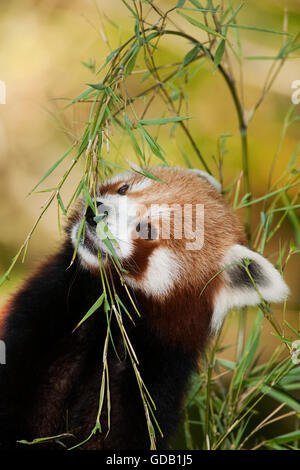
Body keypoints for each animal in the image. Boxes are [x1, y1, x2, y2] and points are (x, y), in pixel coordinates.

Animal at [0, 167, 288, 450]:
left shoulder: (152, 383)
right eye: (123, 188)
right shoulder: (39, 321)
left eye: (147, 229)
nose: (97, 211)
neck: (107, 324)